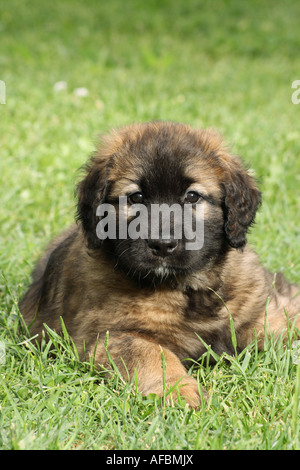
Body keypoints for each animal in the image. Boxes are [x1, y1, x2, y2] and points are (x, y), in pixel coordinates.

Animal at [19, 121, 300, 408]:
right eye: (136, 197)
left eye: (192, 196)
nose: (163, 245)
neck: (188, 289)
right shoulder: (110, 334)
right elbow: (155, 356)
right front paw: (181, 391)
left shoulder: (260, 314)